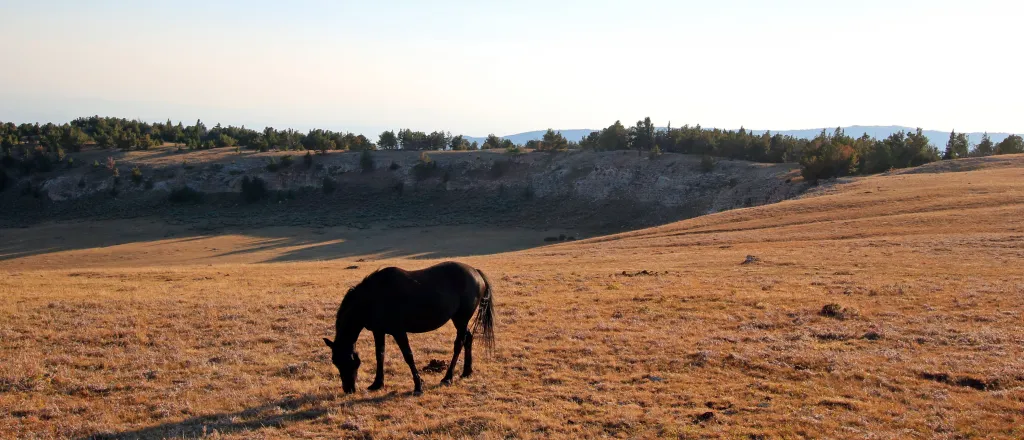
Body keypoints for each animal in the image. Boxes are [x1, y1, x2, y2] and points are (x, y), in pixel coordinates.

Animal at [321, 260, 493, 394]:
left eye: (349, 361)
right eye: (335, 362)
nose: (348, 389)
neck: (374, 297)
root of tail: (475, 272)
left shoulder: (399, 331)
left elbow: (408, 356)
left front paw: (418, 385)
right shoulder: (378, 331)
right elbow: (380, 355)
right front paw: (377, 384)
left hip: (461, 318)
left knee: (459, 344)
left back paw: (447, 377)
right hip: (459, 320)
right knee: (468, 338)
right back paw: (466, 372)